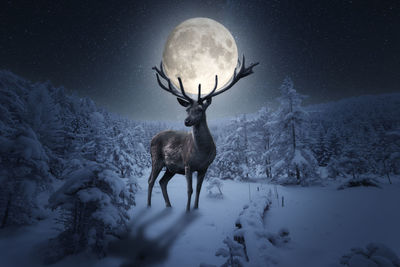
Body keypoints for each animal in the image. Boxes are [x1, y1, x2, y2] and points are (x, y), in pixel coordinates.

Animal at [148, 56, 258, 211]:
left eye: (200, 109)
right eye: (187, 109)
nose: (187, 121)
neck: (201, 152)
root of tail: (152, 138)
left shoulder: (204, 167)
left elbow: (199, 190)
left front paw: (195, 208)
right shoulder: (188, 165)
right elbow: (190, 190)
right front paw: (187, 210)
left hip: (171, 168)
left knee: (162, 182)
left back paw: (169, 205)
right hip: (156, 159)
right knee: (151, 181)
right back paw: (149, 205)